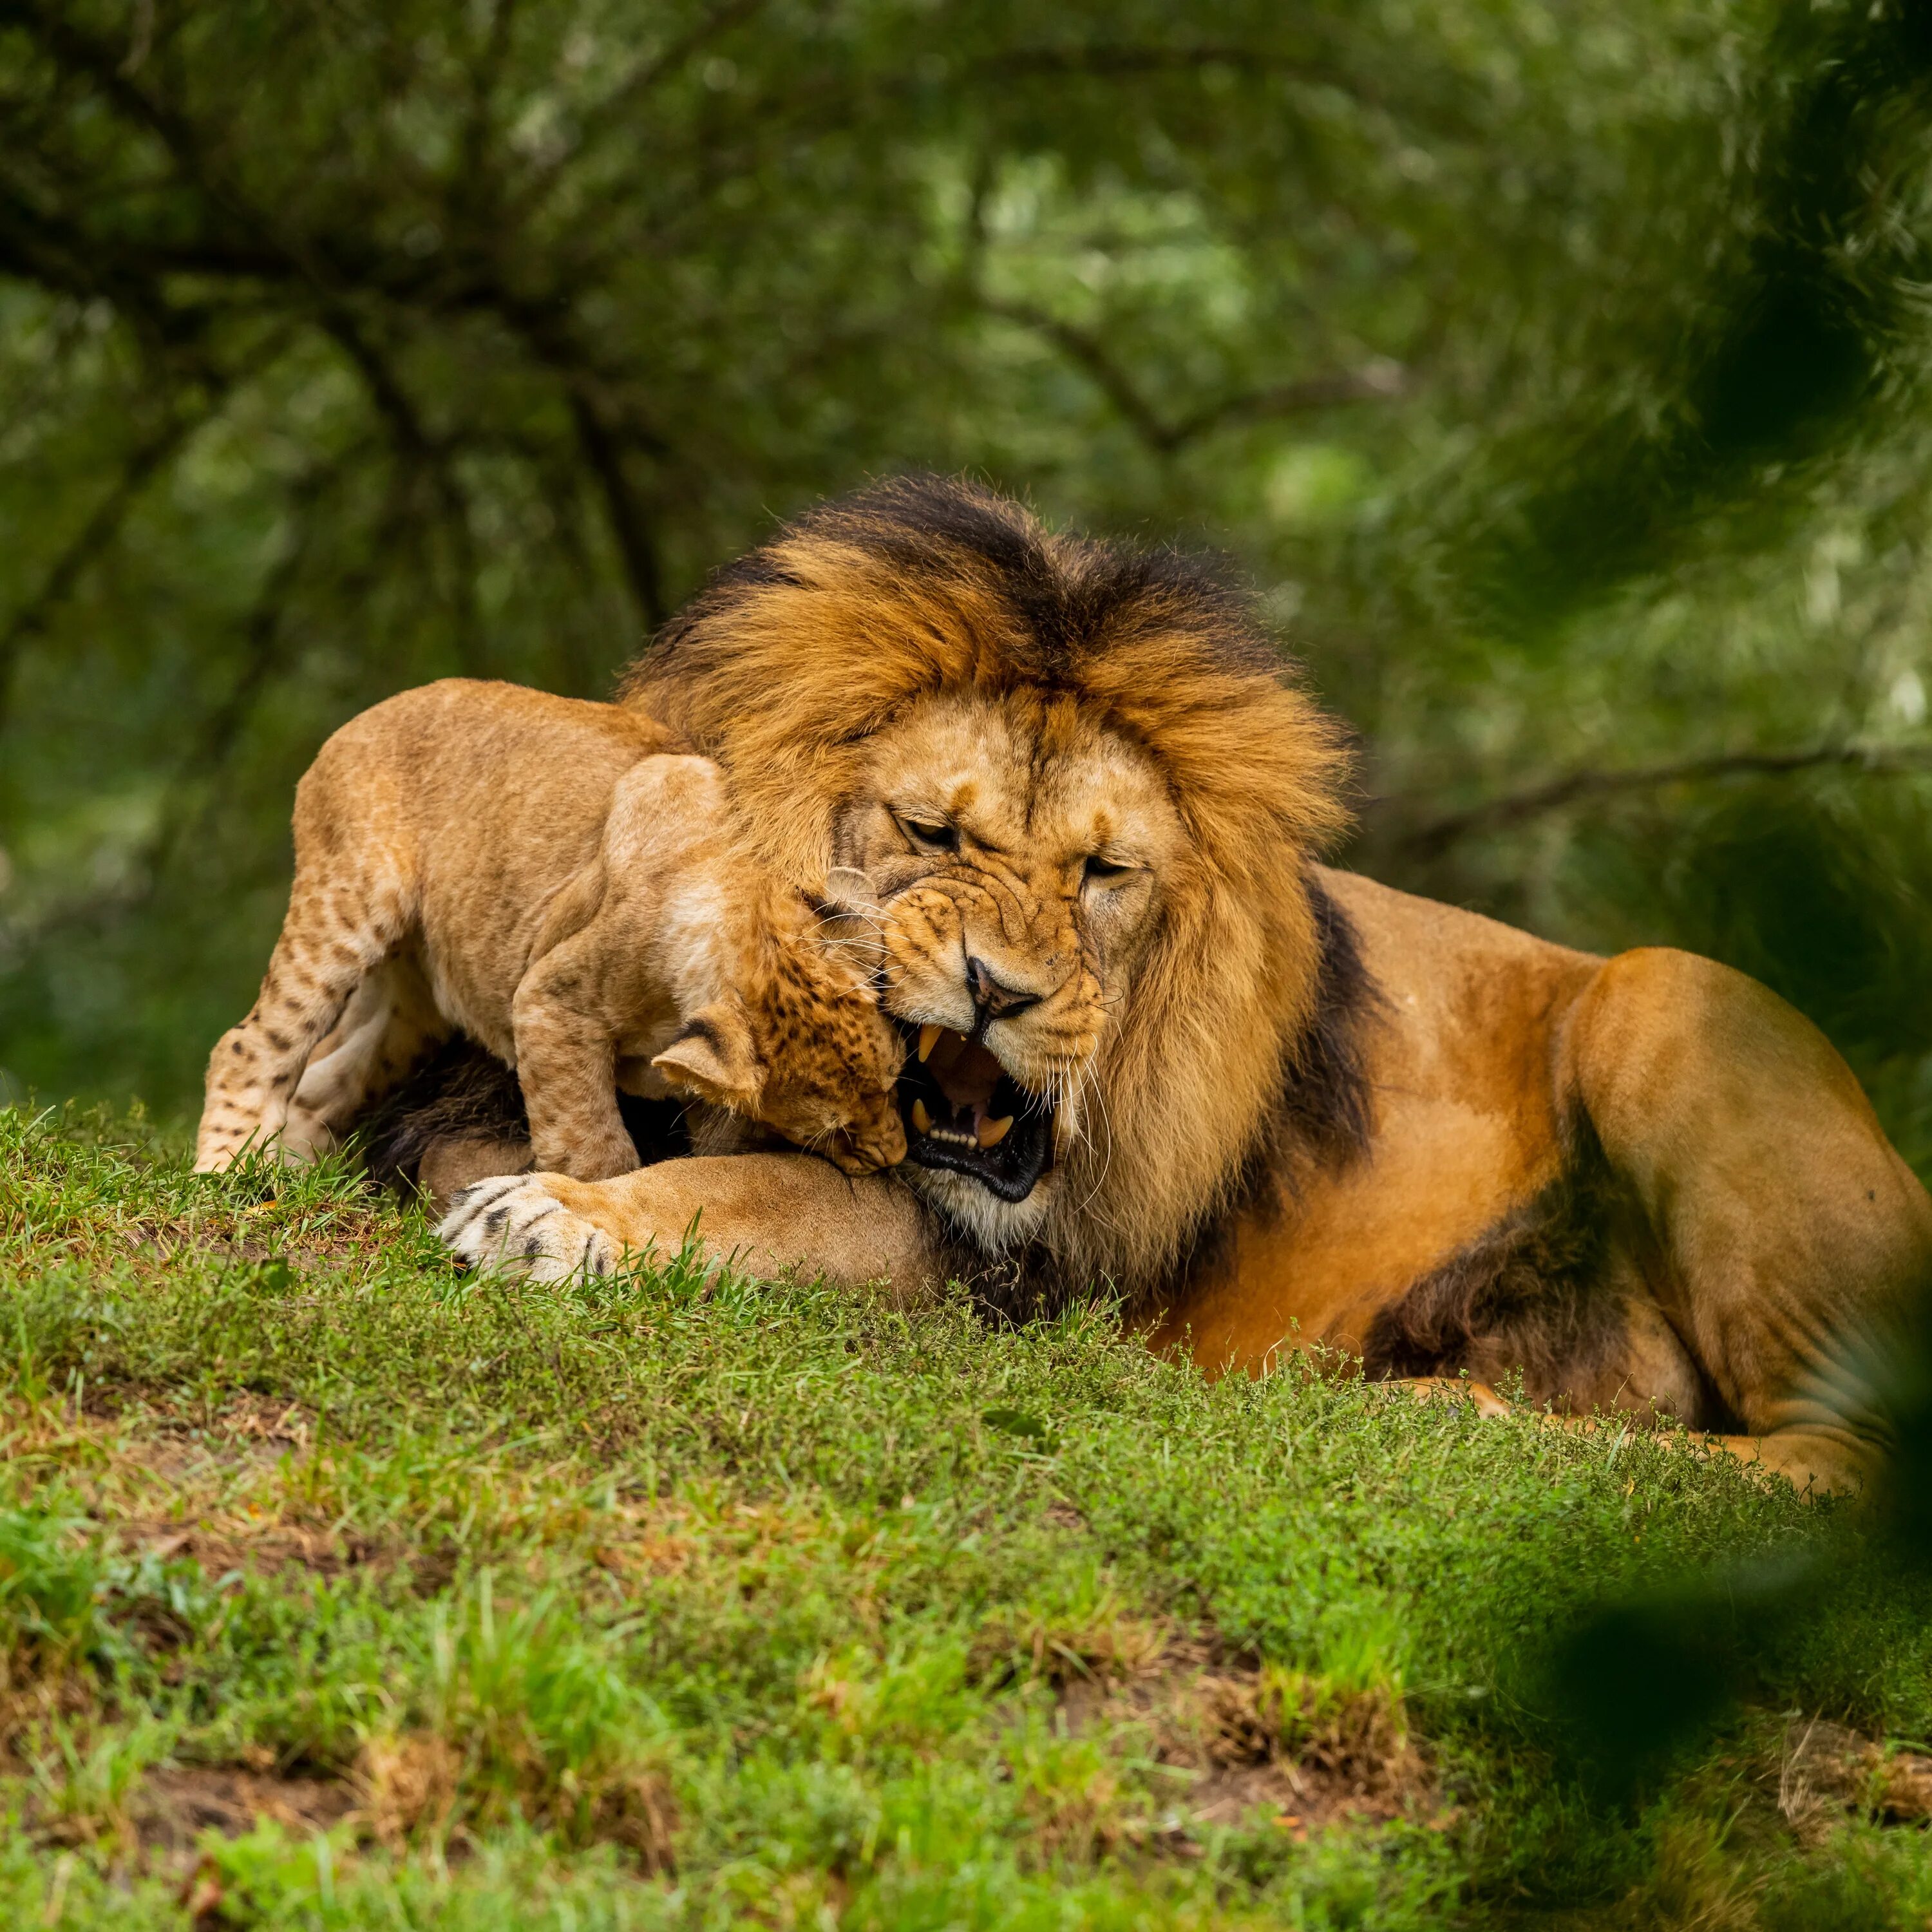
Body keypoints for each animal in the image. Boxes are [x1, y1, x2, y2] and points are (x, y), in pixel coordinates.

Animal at [442, 471, 1932, 1492]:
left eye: (1106, 873)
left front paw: (558, 1221)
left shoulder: (1005, 1280)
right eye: (932, 834)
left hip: (1669, 996)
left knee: (1841, 1466)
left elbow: (754, 1197)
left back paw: (1452, 1410)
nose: (1000, 991)